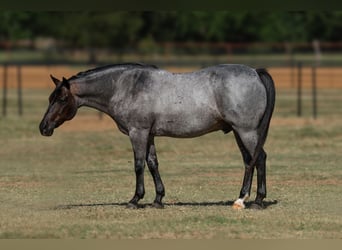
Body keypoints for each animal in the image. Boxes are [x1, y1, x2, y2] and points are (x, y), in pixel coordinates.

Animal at [39, 63, 276, 209]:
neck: (127, 86)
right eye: (50, 98)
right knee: (249, 161)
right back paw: (243, 198)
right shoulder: (149, 134)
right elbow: (153, 164)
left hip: (246, 131)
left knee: (260, 159)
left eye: (61, 99)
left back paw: (256, 200)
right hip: (239, 132)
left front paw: (135, 199)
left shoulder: (138, 132)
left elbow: (138, 165)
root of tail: (255, 72)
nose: (43, 127)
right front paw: (158, 199)